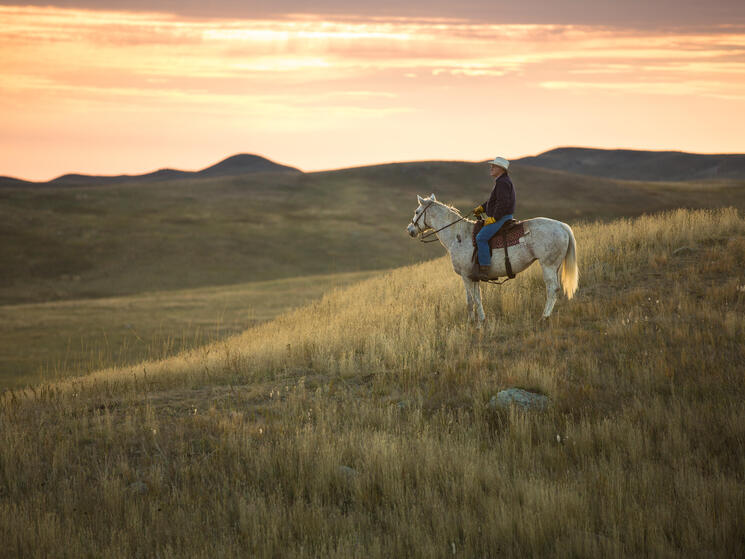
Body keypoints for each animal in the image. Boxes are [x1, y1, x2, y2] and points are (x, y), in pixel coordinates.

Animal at [406, 194, 576, 324]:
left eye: (417, 211)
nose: (410, 230)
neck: (458, 236)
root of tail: (562, 226)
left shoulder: (466, 276)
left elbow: (472, 300)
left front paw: (477, 324)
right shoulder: (473, 277)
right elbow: (475, 299)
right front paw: (476, 321)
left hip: (548, 265)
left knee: (552, 289)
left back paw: (544, 317)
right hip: (555, 266)